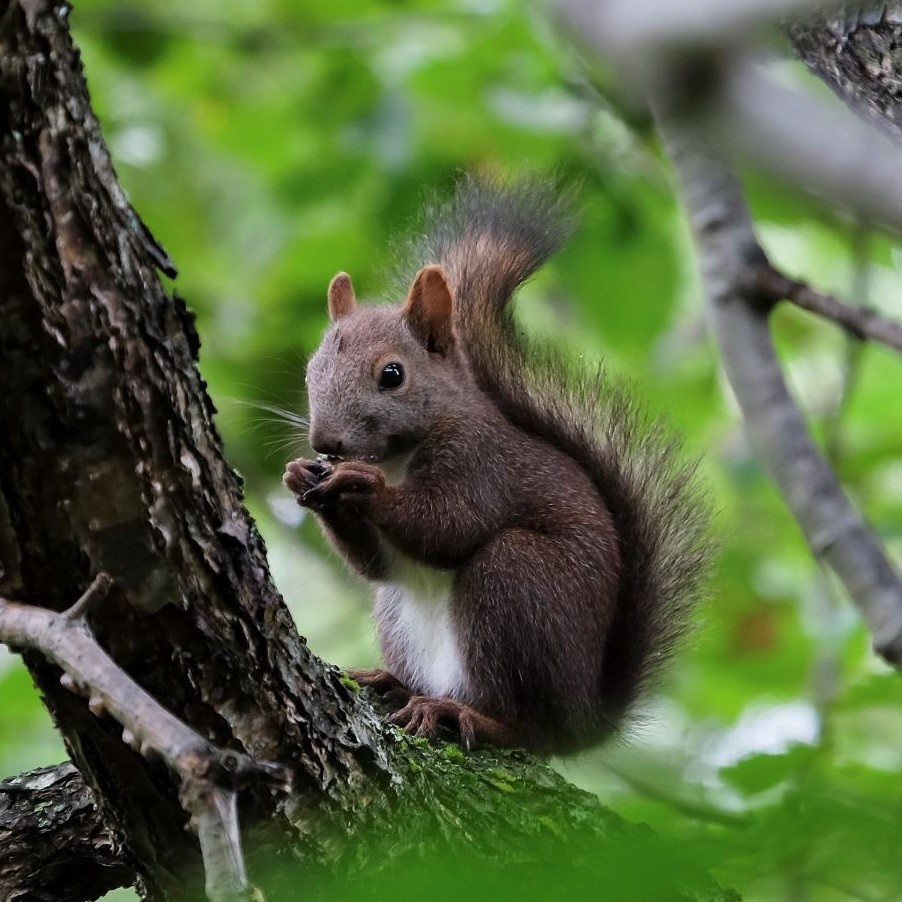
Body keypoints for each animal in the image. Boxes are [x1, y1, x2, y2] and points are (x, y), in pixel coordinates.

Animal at [282, 177, 712, 756]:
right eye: (311, 369)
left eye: (392, 374)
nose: (325, 442)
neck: (397, 458)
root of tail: (582, 721)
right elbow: (376, 565)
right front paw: (300, 476)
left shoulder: (480, 464)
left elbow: (448, 526)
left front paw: (363, 485)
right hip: (398, 615)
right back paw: (396, 684)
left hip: (515, 583)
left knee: (521, 723)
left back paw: (462, 712)